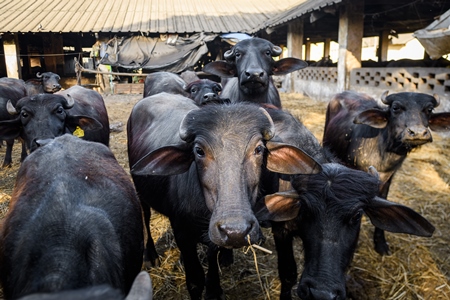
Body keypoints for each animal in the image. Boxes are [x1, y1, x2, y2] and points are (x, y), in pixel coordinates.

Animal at [126, 92, 320, 298]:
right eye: (199, 150)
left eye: (258, 149)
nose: (236, 231)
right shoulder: (182, 234)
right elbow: (195, 281)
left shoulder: (213, 237)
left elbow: (212, 259)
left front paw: (214, 288)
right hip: (139, 191)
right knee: (145, 215)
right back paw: (150, 256)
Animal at [322, 90, 448, 254]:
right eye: (396, 108)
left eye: (429, 109)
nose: (418, 132)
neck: (383, 152)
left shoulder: (389, 178)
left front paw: (380, 243)